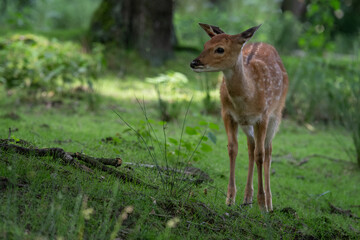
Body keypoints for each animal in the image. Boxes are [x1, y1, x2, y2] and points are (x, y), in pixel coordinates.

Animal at [190, 23, 288, 211]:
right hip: (246, 123)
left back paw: (269, 203)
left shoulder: (263, 116)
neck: (248, 96)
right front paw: (230, 199)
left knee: (268, 150)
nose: (194, 62)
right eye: (205, 45)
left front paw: (262, 204)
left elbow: (260, 154)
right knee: (251, 146)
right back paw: (247, 198)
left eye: (220, 49)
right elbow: (233, 149)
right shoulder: (227, 114)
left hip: (277, 114)